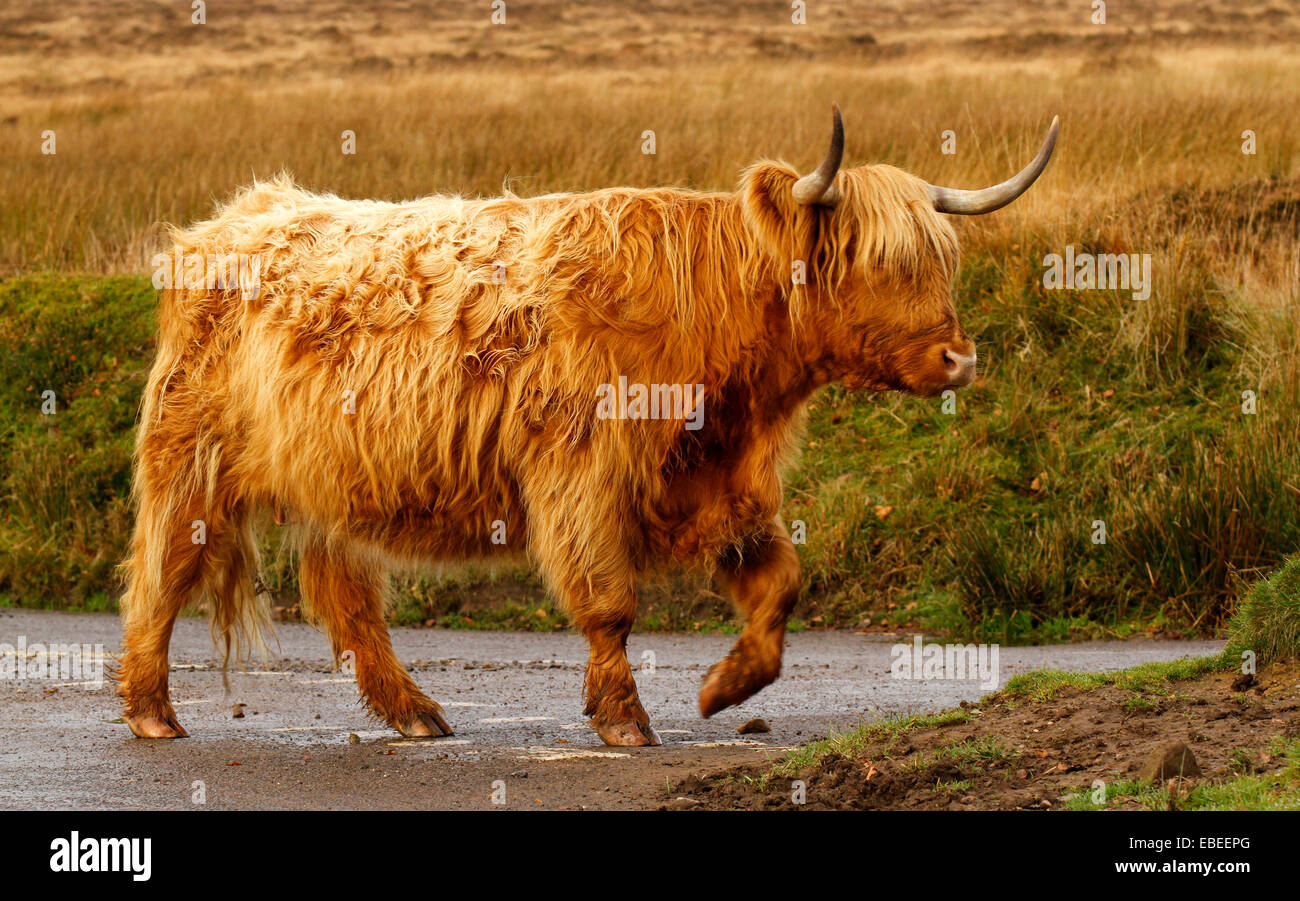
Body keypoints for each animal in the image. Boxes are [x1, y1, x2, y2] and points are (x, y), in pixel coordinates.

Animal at [119, 107, 1055, 743]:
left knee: (345, 597)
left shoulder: (719, 478)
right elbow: (609, 602)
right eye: (879, 262)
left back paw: (415, 711)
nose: (958, 359)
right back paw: (152, 711)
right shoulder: (581, 474)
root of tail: (238, 215)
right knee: (160, 576)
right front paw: (623, 717)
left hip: (331, 481)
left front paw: (725, 687)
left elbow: (781, 584)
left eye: (944, 259)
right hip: (190, 458)